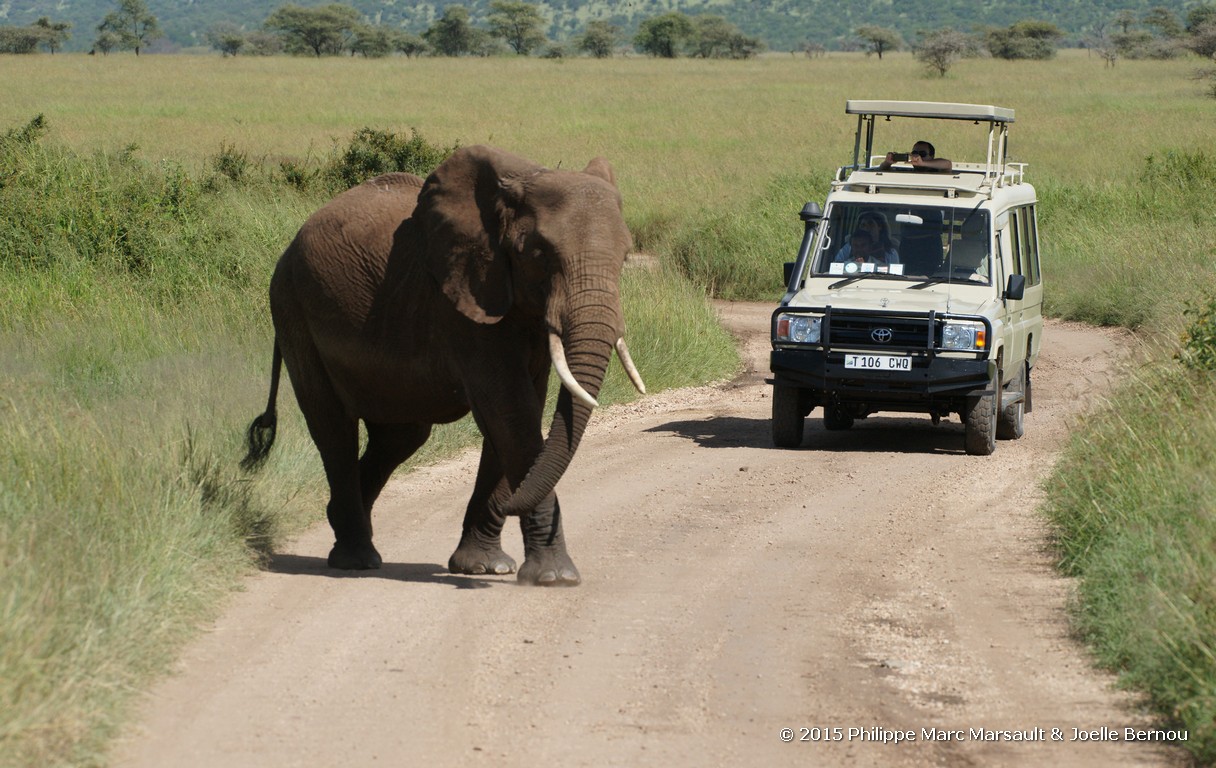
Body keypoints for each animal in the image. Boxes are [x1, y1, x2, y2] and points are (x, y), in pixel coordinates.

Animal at [241, 145, 651, 588]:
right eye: (540, 254)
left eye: (624, 257)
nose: (514, 504)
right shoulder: (463, 304)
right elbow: (510, 411)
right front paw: (554, 577)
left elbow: (518, 412)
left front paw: (485, 567)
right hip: (292, 309)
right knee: (334, 429)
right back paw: (357, 559)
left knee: (399, 437)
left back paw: (342, 528)